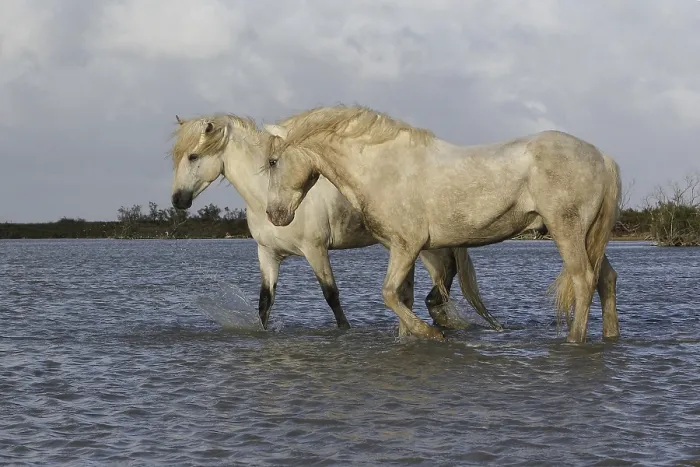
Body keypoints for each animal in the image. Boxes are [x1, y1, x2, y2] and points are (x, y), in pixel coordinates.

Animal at [168, 113, 504, 333]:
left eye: (193, 156)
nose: (178, 200)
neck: (266, 194)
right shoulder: (268, 255)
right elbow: (264, 302)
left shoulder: (315, 250)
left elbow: (331, 296)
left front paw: (345, 329)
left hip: (427, 248)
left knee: (445, 275)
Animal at [263, 105, 622, 343]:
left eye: (273, 161)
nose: (274, 215)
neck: (383, 169)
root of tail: (601, 157)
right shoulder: (402, 250)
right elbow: (403, 299)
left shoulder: (406, 246)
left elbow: (389, 294)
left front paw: (431, 333)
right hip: (589, 236)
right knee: (606, 279)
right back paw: (611, 335)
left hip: (566, 230)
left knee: (583, 279)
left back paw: (574, 340)